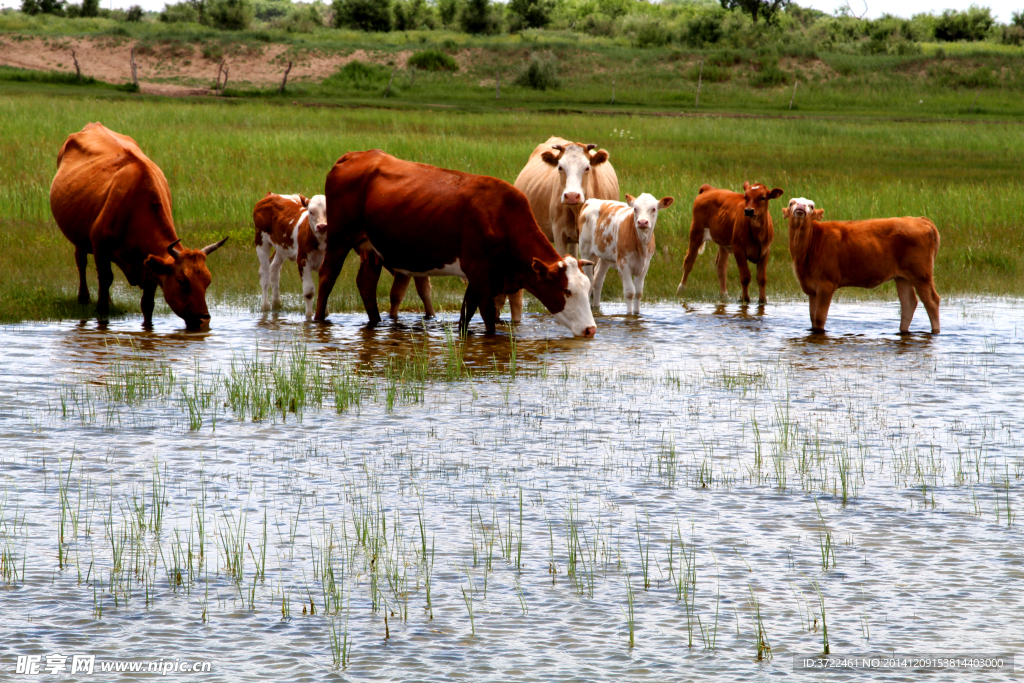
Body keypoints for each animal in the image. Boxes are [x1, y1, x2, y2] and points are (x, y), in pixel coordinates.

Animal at [50, 122, 228, 331]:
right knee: (82, 262)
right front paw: (102, 315)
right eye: (182, 281)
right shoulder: (100, 248)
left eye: (207, 281)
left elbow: (147, 305)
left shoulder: (150, 264)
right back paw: (84, 298)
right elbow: (105, 281)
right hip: (79, 237)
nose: (203, 320)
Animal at [315, 151, 598, 339]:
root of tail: (354, 156)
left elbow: (466, 313)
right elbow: (487, 315)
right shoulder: (479, 272)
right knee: (327, 278)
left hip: (372, 250)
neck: (501, 216)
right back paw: (319, 320)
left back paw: (375, 322)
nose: (590, 329)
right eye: (567, 291)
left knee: (366, 285)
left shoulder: (481, 276)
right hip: (339, 239)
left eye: (587, 288)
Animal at [782, 196, 942, 335]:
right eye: (791, 203)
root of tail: (920, 219)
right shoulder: (811, 288)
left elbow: (820, 318)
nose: (800, 207)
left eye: (811, 206)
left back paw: (935, 332)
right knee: (908, 303)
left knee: (931, 301)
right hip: (903, 277)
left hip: (921, 273)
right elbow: (812, 318)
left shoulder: (826, 285)